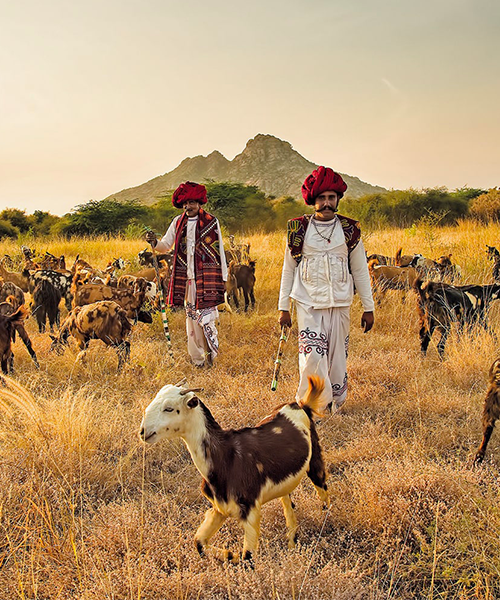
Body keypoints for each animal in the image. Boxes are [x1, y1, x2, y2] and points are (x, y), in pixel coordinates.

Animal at [139, 372, 330, 564]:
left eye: (169, 408)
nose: (143, 431)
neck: (227, 457)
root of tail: (300, 405)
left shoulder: (251, 511)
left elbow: (248, 559)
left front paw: (235, 556)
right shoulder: (219, 508)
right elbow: (199, 542)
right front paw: (230, 554)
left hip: (315, 460)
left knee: (323, 489)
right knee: (287, 502)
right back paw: (291, 542)